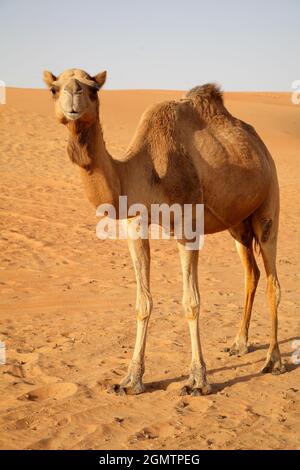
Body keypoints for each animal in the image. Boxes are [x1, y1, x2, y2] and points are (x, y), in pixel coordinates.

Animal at [43, 68, 284, 394]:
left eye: (93, 89)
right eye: (54, 89)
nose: (72, 97)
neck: (142, 171)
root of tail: (261, 147)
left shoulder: (188, 227)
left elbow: (191, 302)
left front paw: (198, 380)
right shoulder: (135, 226)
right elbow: (142, 302)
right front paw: (130, 380)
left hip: (269, 203)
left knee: (273, 280)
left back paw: (274, 361)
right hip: (238, 224)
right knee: (252, 274)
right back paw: (239, 344)